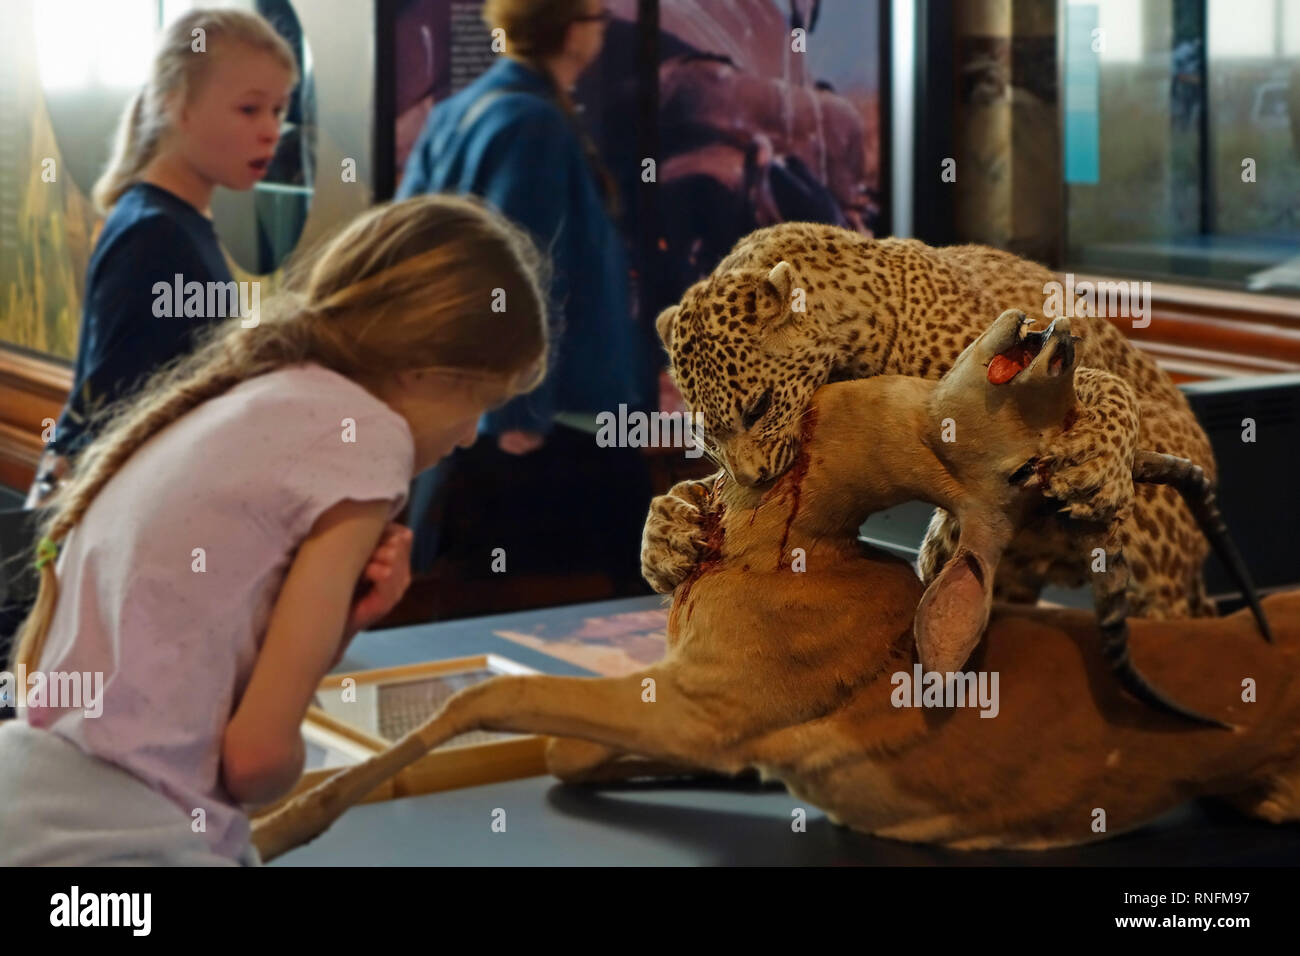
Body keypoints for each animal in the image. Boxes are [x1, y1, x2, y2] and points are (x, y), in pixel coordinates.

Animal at [655, 222, 1222, 621]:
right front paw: (666, 535)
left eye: (758, 407)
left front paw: (1099, 463)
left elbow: (1104, 384)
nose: (752, 478)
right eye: (706, 436)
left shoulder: (1034, 360)